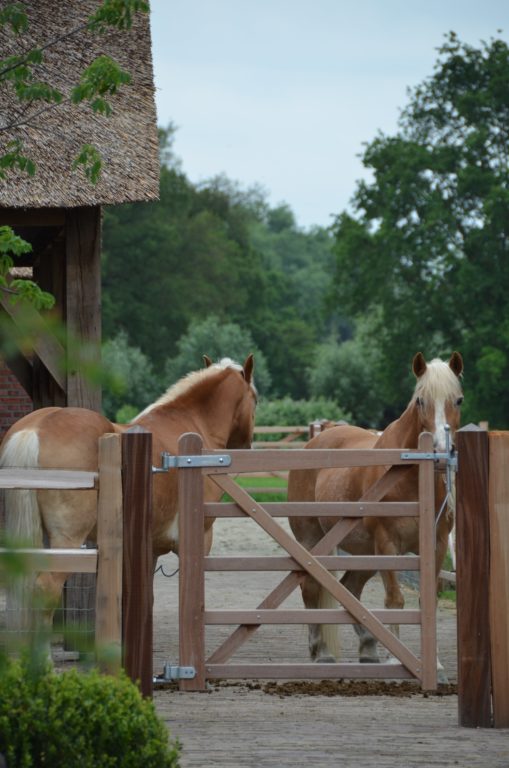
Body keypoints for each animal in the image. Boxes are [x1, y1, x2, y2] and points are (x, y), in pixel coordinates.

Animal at [0, 354, 254, 648]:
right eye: (254, 397)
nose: (247, 445)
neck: (189, 425)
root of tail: (35, 428)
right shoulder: (199, 540)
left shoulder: (149, 547)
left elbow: (143, 598)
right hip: (67, 540)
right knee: (45, 589)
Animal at [288, 350, 462, 680]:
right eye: (421, 401)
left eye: (457, 400)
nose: (440, 450)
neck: (409, 478)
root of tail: (316, 441)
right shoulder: (388, 544)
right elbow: (394, 599)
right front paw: (398, 660)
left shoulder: (436, 545)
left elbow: (427, 599)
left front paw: (435, 665)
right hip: (313, 543)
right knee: (312, 587)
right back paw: (321, 652)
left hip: (364, 553)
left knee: (349, 588)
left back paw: (368, 648)